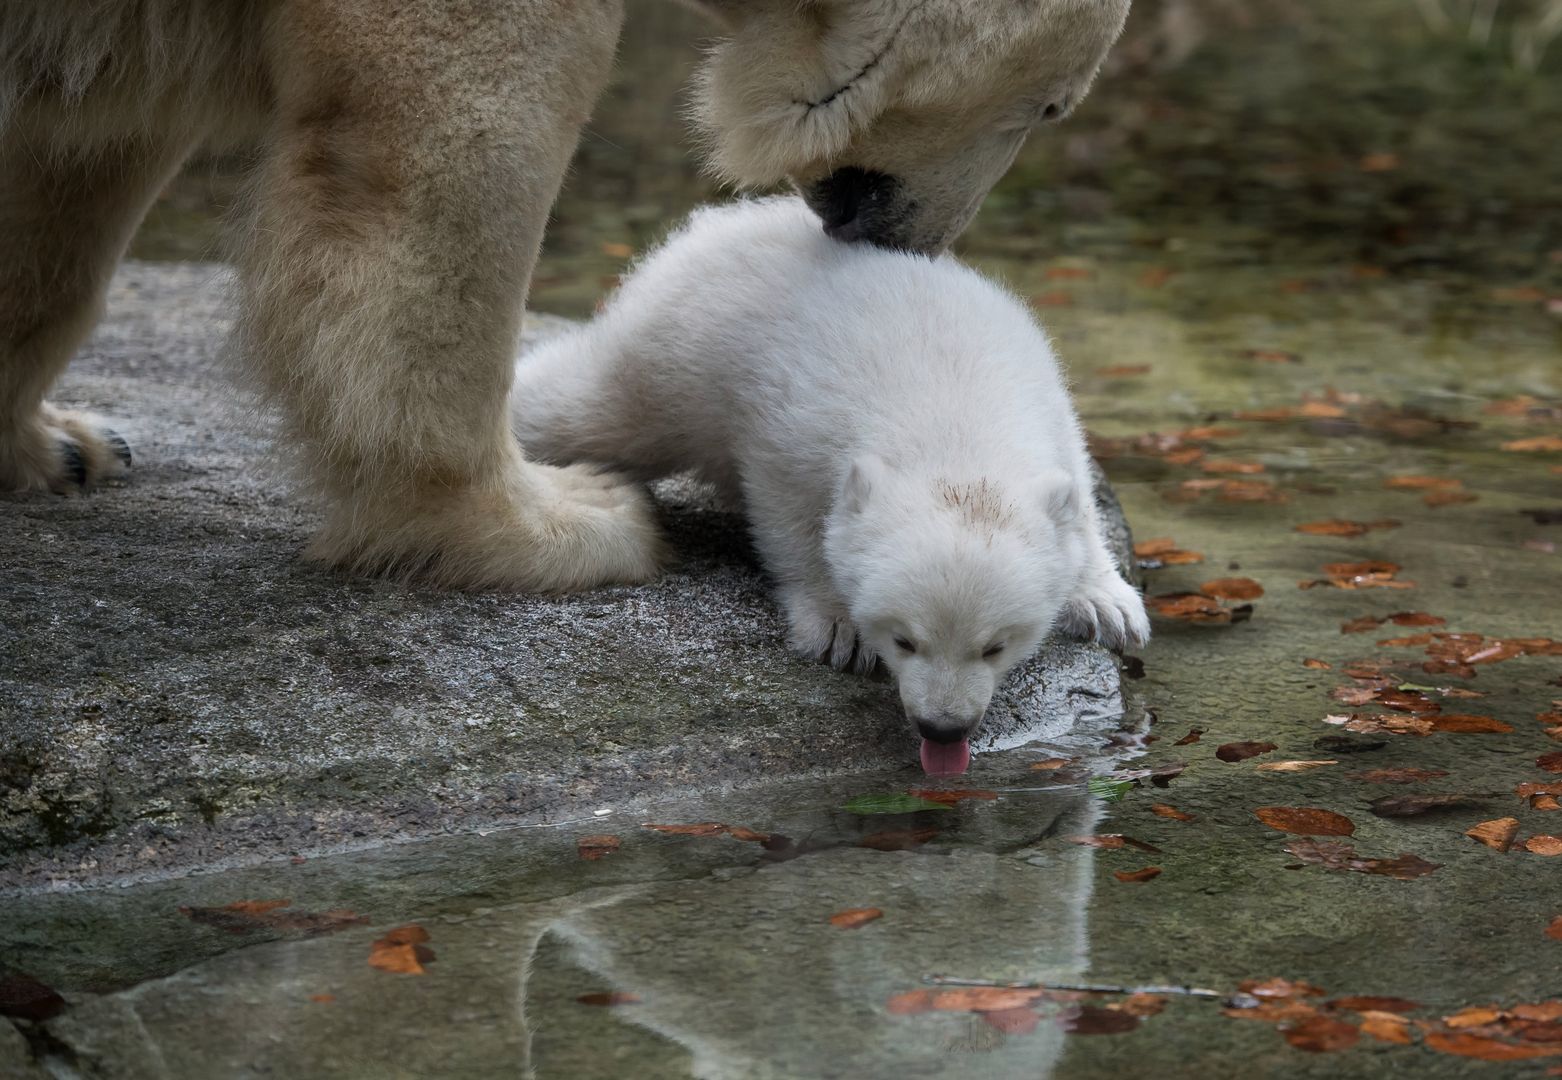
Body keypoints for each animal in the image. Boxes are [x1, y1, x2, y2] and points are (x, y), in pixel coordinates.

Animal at [0, 0, 1124, 590]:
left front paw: (61, 445)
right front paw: (558, 522)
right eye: (1052, 105)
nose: (918, 238)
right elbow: (452, 154)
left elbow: (75, 163)